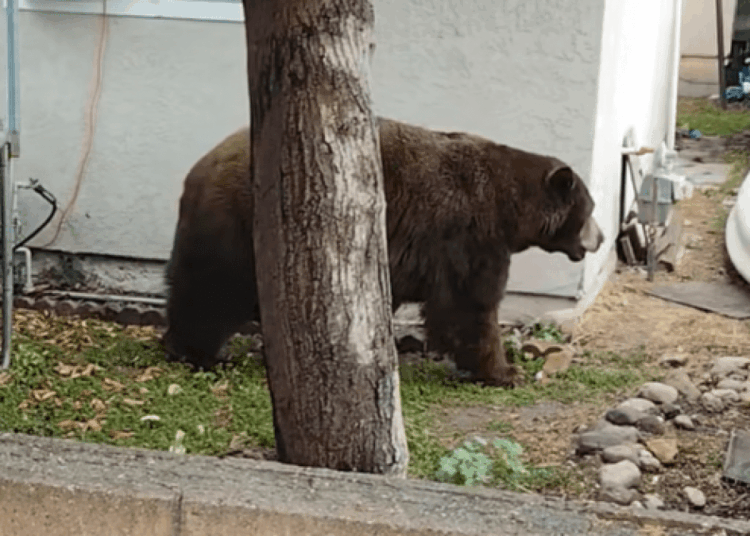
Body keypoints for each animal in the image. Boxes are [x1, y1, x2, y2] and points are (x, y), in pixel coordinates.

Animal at [162, 118, 604, 387]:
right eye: (591, 208)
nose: (600, 239)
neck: (510, 208)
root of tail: (198, 171)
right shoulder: (469, 234)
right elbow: (469, 305)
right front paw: (503, 369)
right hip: (241, 224)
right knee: (213, 290)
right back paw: (198, 352)